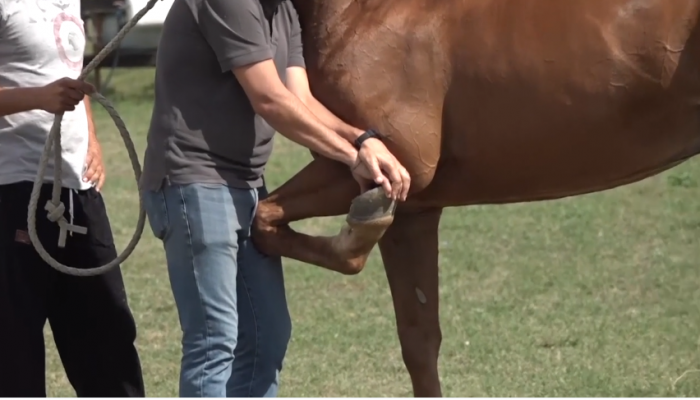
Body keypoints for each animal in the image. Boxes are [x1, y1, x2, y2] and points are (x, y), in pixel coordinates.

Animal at [253, 0, 700, 394]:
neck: (365, 10)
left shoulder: (392, 166)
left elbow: (268, 220)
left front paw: (358, 229)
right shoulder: (414, 211)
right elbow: (419, 342)